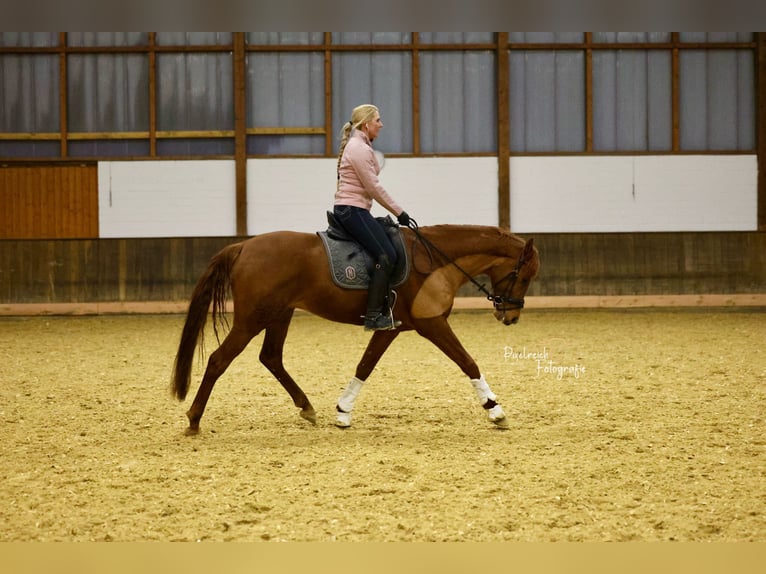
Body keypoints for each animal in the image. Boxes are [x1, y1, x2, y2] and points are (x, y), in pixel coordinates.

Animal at [171, 223, 540, 434]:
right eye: (524, 275)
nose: (510, 316)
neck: (433, 260)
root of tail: (243, 246)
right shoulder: (431, 324)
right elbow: (468, 362)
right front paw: (495, 410)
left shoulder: (390, 327)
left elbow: (365, 365)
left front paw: (342, 412)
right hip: (252, 319)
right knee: (219, 360)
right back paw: (193, 419)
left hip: (279, 314)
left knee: (271, 358)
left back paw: (306, 408)